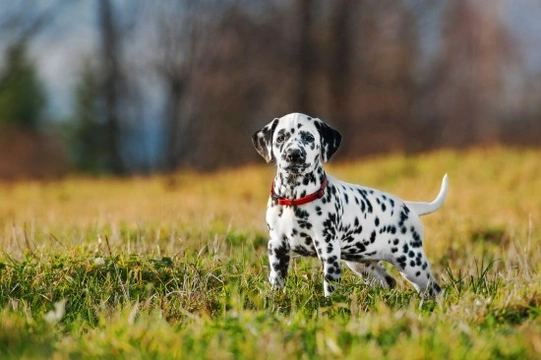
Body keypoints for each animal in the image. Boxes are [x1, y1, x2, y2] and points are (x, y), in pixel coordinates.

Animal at [253, 112, 448, 298]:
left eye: (308, 137)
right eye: (280, 137)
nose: (293, 154)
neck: (294, 198)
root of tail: (410, 207)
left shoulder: (328, 248)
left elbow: (330, 282)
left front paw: (330, 303)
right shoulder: (277, 246)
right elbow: (277, 279)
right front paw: (275, 298)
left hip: (411, 263)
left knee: (435, 290)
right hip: (362, 264)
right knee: (389, 281)